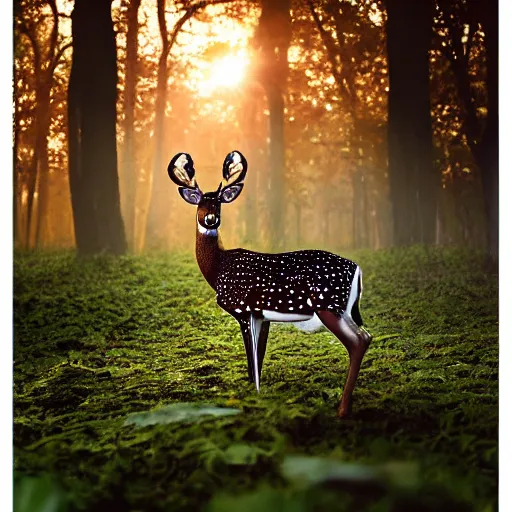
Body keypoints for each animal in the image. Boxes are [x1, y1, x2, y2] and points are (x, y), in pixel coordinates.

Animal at [169, 150, 372, 418]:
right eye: (200, 202)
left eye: (219, 202)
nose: (211, 219)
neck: (219, 268)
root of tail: (357, 268)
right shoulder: (261, 314)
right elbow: (260, 354)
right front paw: (256, 391)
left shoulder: (242, 308)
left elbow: (251, 355)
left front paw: (252, 395)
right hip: (342, 308)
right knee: (366, 336)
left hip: (327, 304)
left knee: (357, 341)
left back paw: (342, 409)